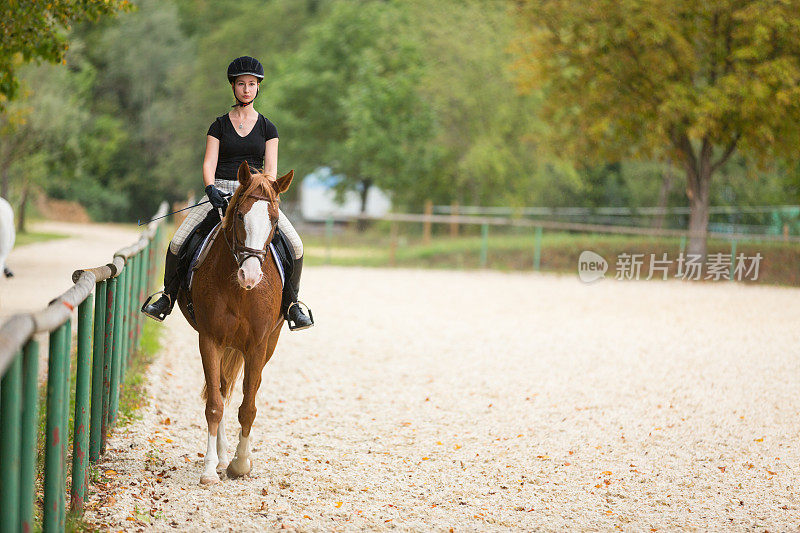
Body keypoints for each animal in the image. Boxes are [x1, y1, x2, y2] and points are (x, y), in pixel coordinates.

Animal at [177, 161, 296, 482]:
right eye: (240, 215)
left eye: (274, 221)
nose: (250, 276)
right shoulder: (209, 340)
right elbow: (214, 405)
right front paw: (210, 469)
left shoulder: (257, 345)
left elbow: (249, 407)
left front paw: (241, 463)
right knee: (220, 388)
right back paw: (219, 457)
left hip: (268, 344)